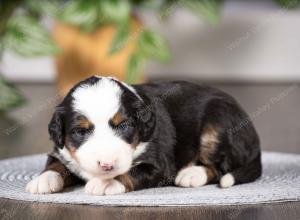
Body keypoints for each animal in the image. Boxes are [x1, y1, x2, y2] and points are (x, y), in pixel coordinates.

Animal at [25, 76, 262, 195]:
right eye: (81, 131)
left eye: (124, 126)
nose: (107, 165)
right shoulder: (60, 151)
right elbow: (55, 165)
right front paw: (43, 180)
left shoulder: (159, 166)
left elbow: (130, 172)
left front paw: (106, 183)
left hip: (216, 124)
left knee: (220, 167)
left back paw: (191, 174)